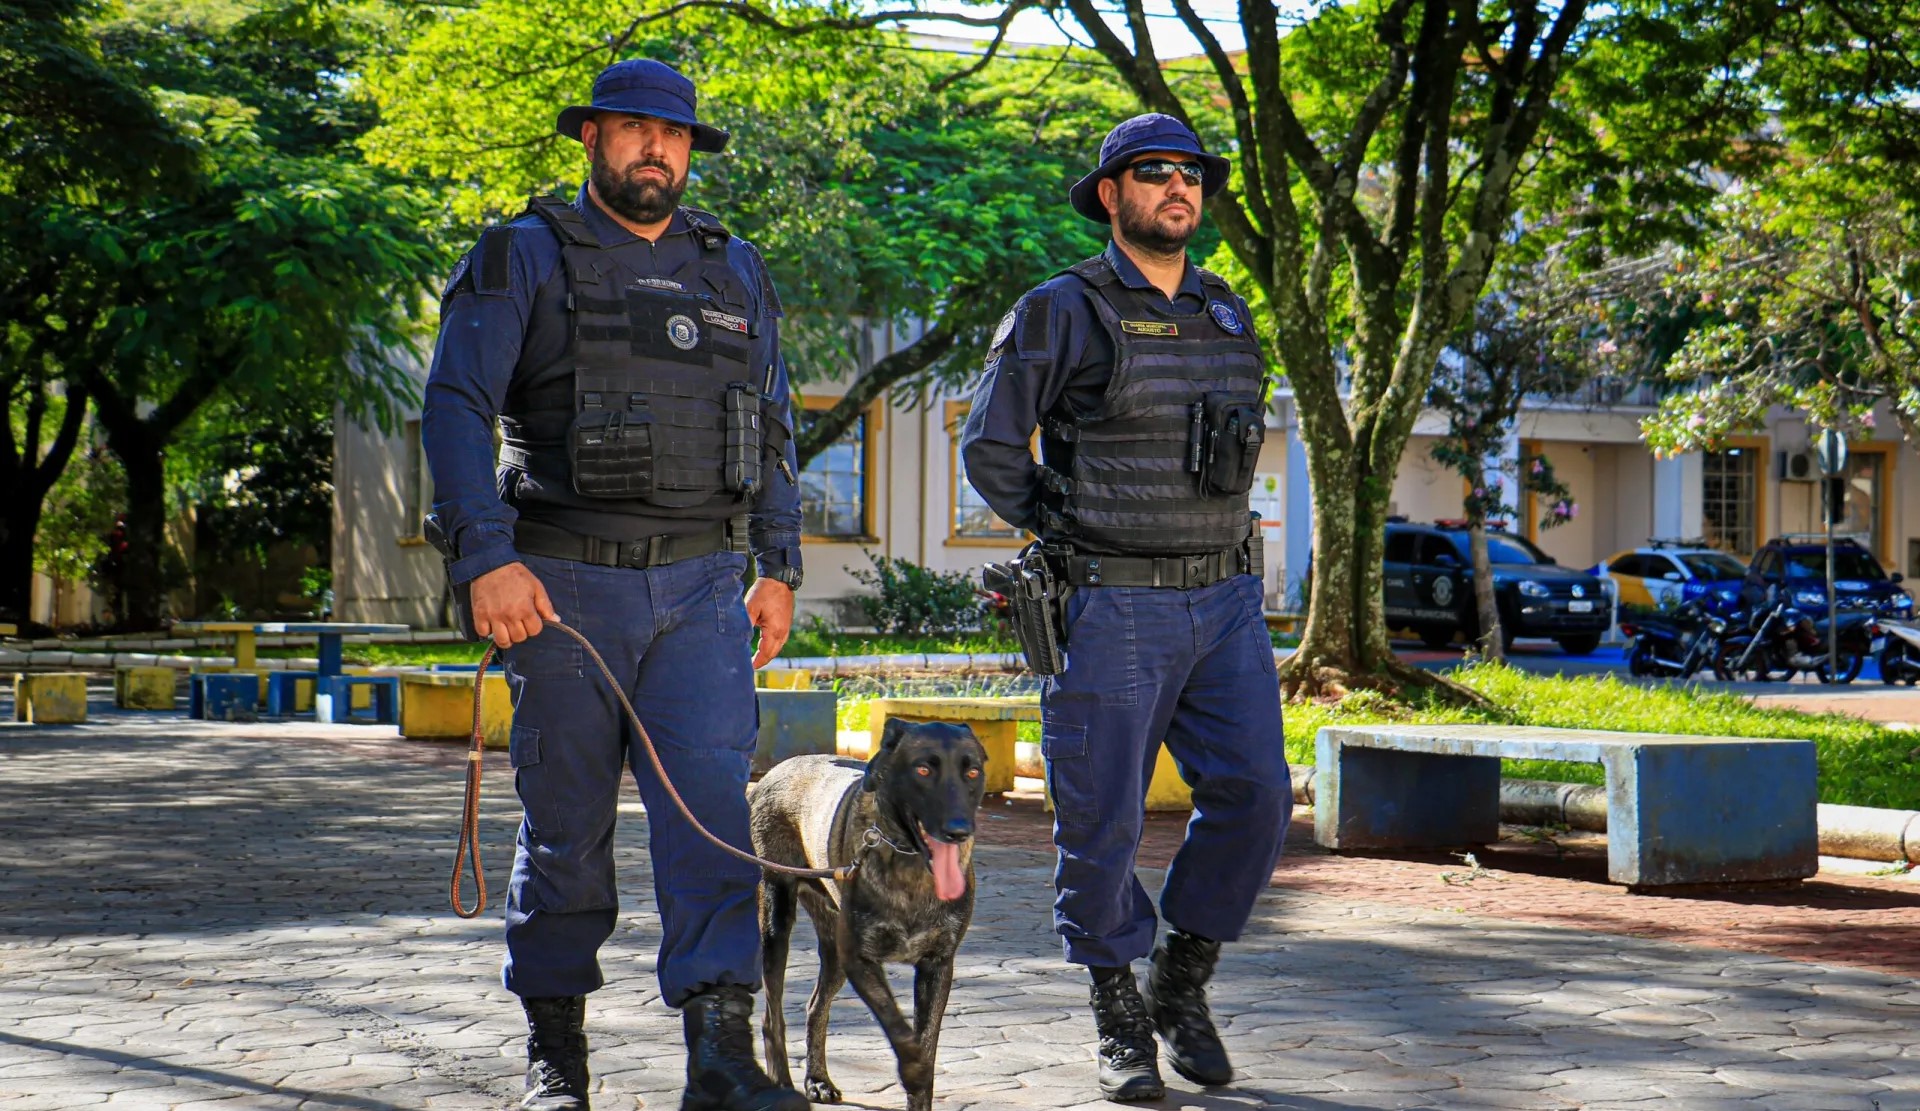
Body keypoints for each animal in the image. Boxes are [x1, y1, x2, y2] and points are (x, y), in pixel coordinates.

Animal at [749, 718, 988, 1111]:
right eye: (923, 770)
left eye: (972, 772)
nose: (958, 831)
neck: (912, 867)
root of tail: (775, 770)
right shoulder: (859, 959)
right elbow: (899, 1027)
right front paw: (913, 1069)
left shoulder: (938, 965)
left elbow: (926, 1040)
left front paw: (920, 1086)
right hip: (776, 917)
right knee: (773, 1014)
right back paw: (783, 1083)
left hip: (832, 949)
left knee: (815, 1005)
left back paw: (818, 1079)